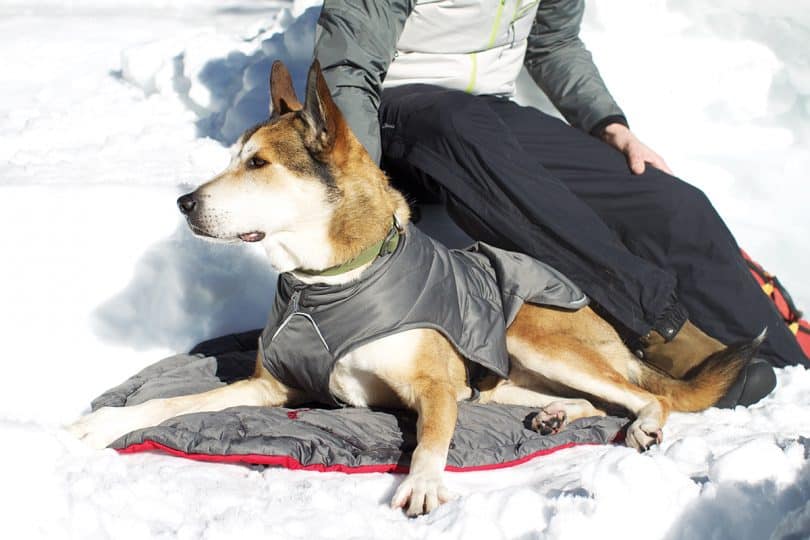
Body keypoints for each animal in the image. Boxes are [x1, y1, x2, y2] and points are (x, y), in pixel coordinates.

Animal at [71, 60, 756, 520]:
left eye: (259, 164)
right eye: (234, 158)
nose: (184, 203)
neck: (326, 285)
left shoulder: (435, 387)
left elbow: (431, 438)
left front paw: (422, 483)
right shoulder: (272, 385)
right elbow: (173, 404)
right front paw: (107, 422)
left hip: (532, 337)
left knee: (645, 397)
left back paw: (639, 424)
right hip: (511, 377)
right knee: (592, 399)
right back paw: (555, 414)